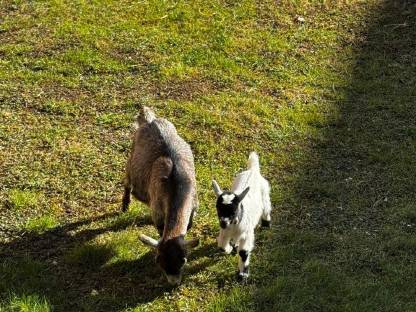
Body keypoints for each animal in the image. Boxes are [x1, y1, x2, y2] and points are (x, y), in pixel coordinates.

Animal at [122, 106, 198, 286]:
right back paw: (125, 205)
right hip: (131, 161)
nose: (173, 283)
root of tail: (150, 120)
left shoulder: (193, 207)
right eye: (158, 261)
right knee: (127, 182)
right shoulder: (157, 212)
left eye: (184, 260)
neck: (176, 184)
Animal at [211, 151, 272, 280]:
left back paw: (266, 224)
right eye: (218, 209)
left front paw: (243, 275)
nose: (223, 223)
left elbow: (243, 252)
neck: (234, 225)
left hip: (265, 194)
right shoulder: (224, 232)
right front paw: (229, 248)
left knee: (266, 209)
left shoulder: (247, 234)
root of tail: (253, 170)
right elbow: (222, 247)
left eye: (234, 211)